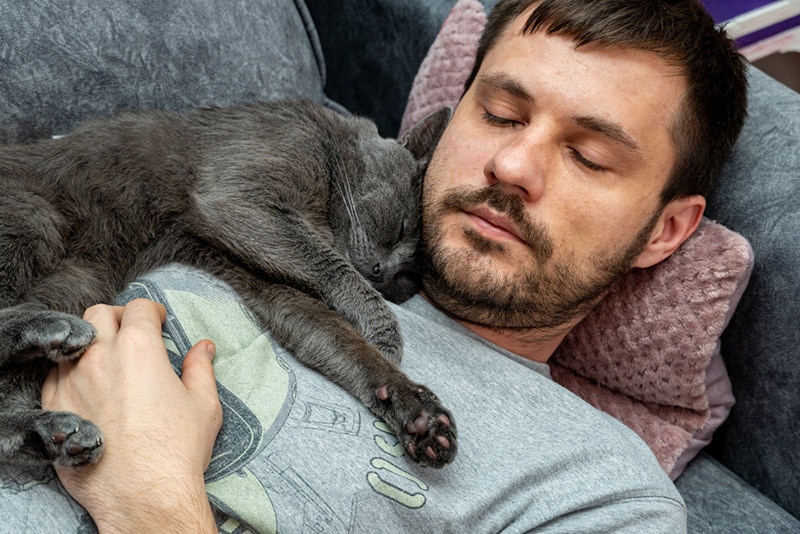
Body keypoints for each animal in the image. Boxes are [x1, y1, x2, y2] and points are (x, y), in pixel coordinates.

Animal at [0, 99, 456, 468]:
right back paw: (51, 330)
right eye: (400, 228)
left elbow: (336, 339)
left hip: (78, 279)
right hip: (32, 221)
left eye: (406, 279)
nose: (383, 274)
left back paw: (54, 432)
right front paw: (383, 328)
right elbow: (330, 264)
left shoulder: (261, 276)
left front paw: (417, 413)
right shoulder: (241, 198)